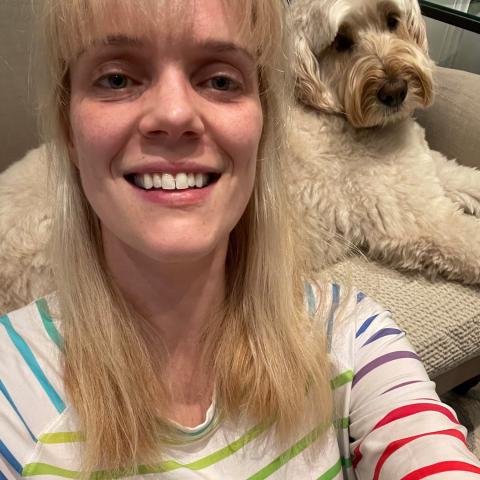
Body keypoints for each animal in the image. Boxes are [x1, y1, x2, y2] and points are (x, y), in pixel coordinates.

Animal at [287, 0, 480, 284]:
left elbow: (463, 176)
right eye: (340, 41)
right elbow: (470, 240)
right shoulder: (422, 216)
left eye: (392, 20)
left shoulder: (423, 166)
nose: (395, 91)